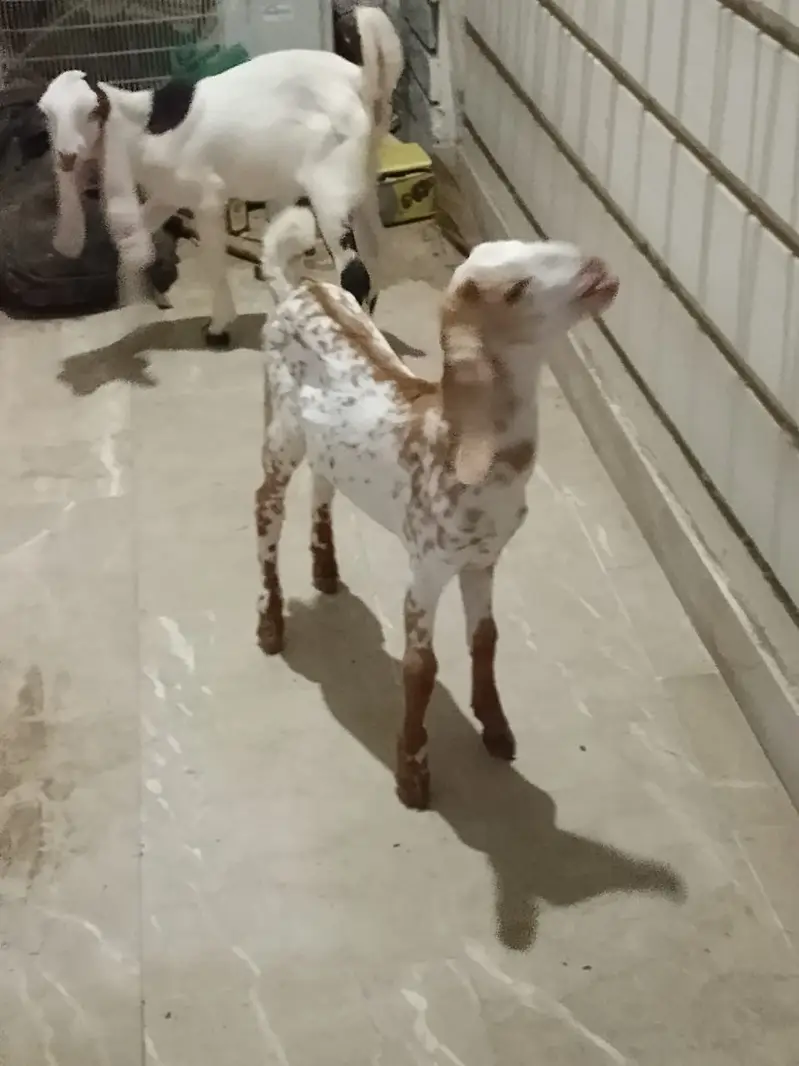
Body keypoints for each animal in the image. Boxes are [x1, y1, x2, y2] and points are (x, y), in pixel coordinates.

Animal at [37, 4, 402, 345]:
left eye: (92, 112)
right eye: (47, 114)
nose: (66, 157)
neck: (141, 129)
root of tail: (361, 80)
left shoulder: (207, 196)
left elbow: (213, 261)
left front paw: (218, 328)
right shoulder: (169, 195)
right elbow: (134, 235)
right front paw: (134, 294)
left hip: (330, 187)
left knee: (355, 271)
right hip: (361, 180)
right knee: (375, 255)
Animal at [254, 214, 619, 808]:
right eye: (516, 289)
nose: (599, 269)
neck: (451, 441)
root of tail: (298, 289)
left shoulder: (483, 560)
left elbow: (486, 640)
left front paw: (497, 731)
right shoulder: (426, 566)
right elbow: (420, 667)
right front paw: (413, 775)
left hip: (322, 443)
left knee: (323, 485)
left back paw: (326, 570)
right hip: (279, 429)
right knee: (266, 504)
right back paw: (270, 624)